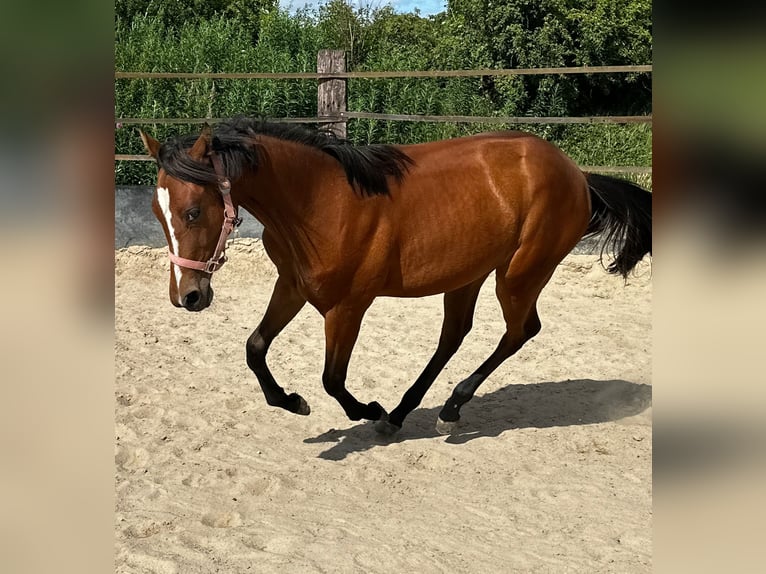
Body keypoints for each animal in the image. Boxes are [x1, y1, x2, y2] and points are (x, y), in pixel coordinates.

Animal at [139, 117, 651, 435]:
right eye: (158, 213)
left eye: (193, 210)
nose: (188, 296)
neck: (320, 201)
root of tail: (579, 175)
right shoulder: (293, 286)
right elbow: (255, 348)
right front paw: (292, 401)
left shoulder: (348, 307)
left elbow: (332, 378)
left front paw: (366, 409)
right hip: (468, 274)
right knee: (454, 335)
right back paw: (405, 413)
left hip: (520, 273)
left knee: (521, 330)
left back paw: (448, 407)